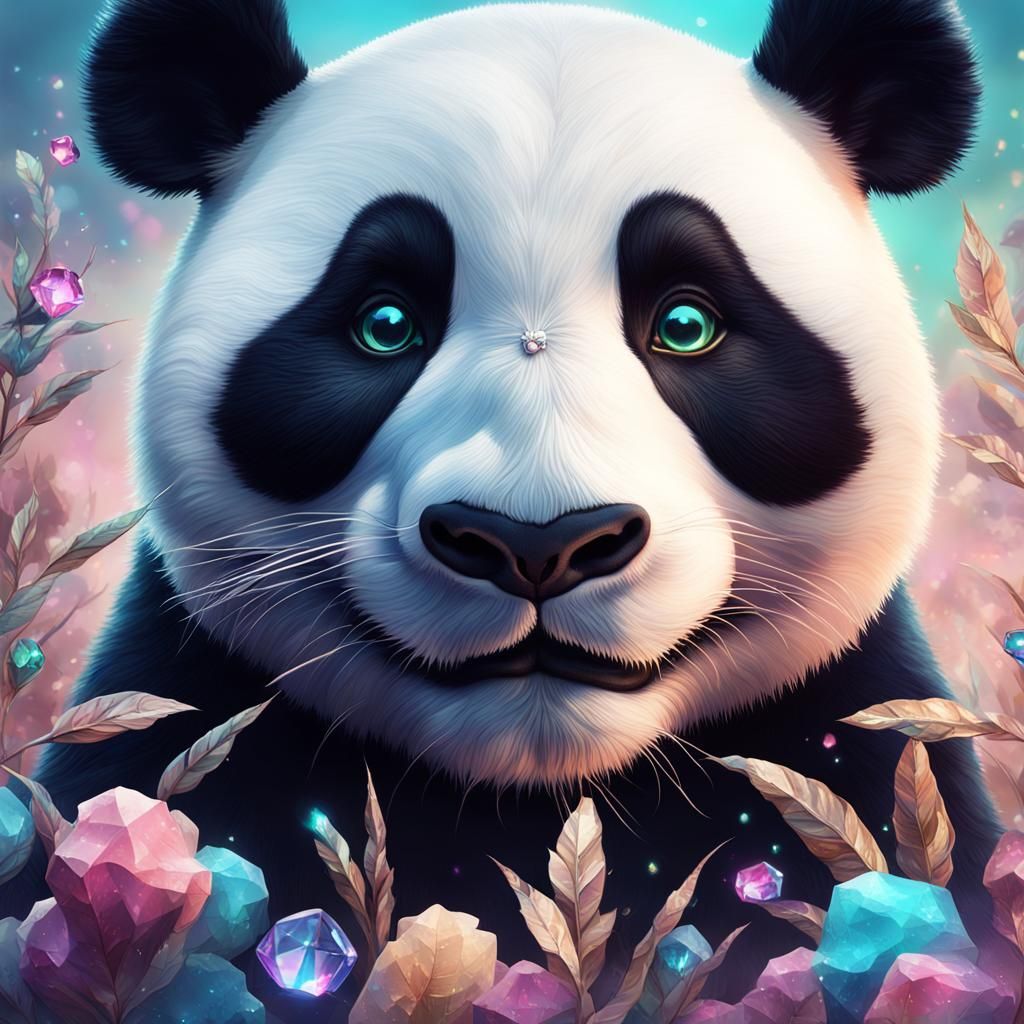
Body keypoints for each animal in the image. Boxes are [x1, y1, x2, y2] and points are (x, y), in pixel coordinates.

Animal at [18, 0, 1001, 1006]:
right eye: (386, 325)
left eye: (687, 324)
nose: (536, 543)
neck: (533, 798)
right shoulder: (178, 714)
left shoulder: (857, 730)